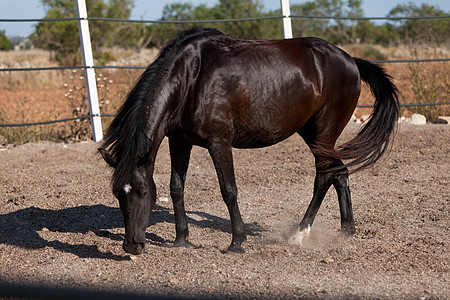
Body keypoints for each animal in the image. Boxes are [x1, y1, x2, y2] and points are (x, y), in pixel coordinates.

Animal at [98, 27, 398, 254]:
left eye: (142, 192)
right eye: (118, 193)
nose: (132, 245)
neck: (191, 78)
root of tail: (350, 60)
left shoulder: (219, 143)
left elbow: (228, 190)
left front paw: (237, 242)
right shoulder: (179, 141)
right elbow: (176, 188)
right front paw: (181, 240)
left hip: (323, 135)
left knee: (324, 177)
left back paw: (299, 234)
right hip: (313, 134)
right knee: (340, 173)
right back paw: (346, 230)